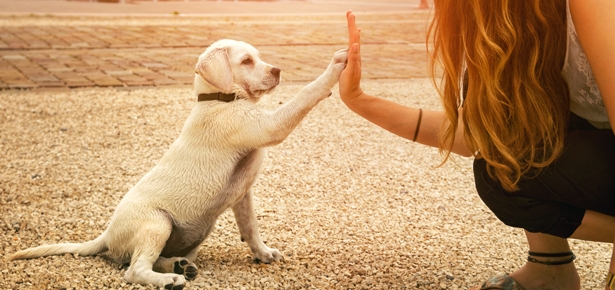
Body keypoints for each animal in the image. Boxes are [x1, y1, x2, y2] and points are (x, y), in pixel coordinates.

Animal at [9, 39, 348, 290]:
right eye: (246, 61)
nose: (277, 71)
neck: (220, 99)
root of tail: (107, 234)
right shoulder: (268, 127)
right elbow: (305, 94)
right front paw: (336, 66)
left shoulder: (243, 194)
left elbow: (250, 227)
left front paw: (263, 253)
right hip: (157, 222)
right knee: (133, 270)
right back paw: (170, 278)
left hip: (190, 235)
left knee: (145, 260)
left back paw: (180, 266)